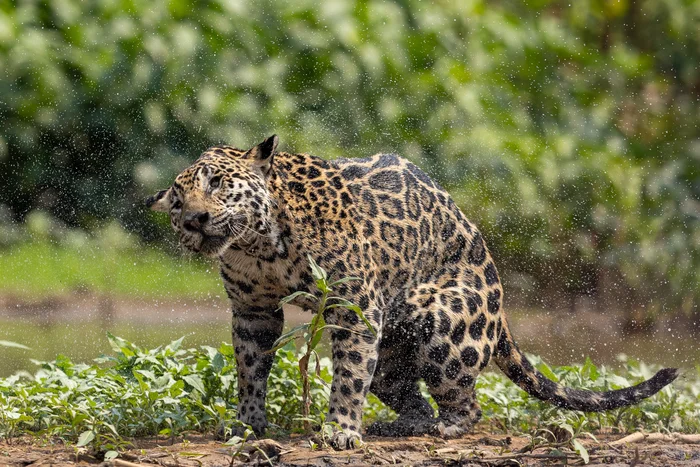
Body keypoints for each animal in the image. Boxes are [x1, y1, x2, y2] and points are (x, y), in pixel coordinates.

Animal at [147, 135, 678, 450]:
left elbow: (347, 378)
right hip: (390, 353)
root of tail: (501, 299)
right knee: (406, 395)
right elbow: (250, 370)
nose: (194, 219)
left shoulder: (354, 308)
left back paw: (444, 426)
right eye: (177, 200)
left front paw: (340, 431)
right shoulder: (253, 311)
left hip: (438, 316)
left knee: (467, 403)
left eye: (218, 183)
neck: (259, 245)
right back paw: (395, 426)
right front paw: (248, 422)